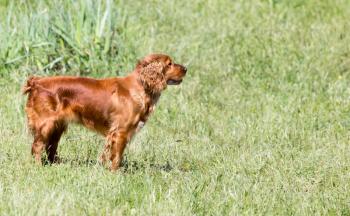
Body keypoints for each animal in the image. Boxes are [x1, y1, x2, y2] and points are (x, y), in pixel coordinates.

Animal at [23, 53, 187, 170]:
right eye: (169, 64)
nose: (186, 69)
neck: (140, 87)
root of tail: (36, 81)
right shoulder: (120, 132)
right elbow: (117, 155)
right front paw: (116, 173)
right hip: (46, 124)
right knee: (37, 146)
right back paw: (39, 167)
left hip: (57, 125)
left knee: (51, 146)